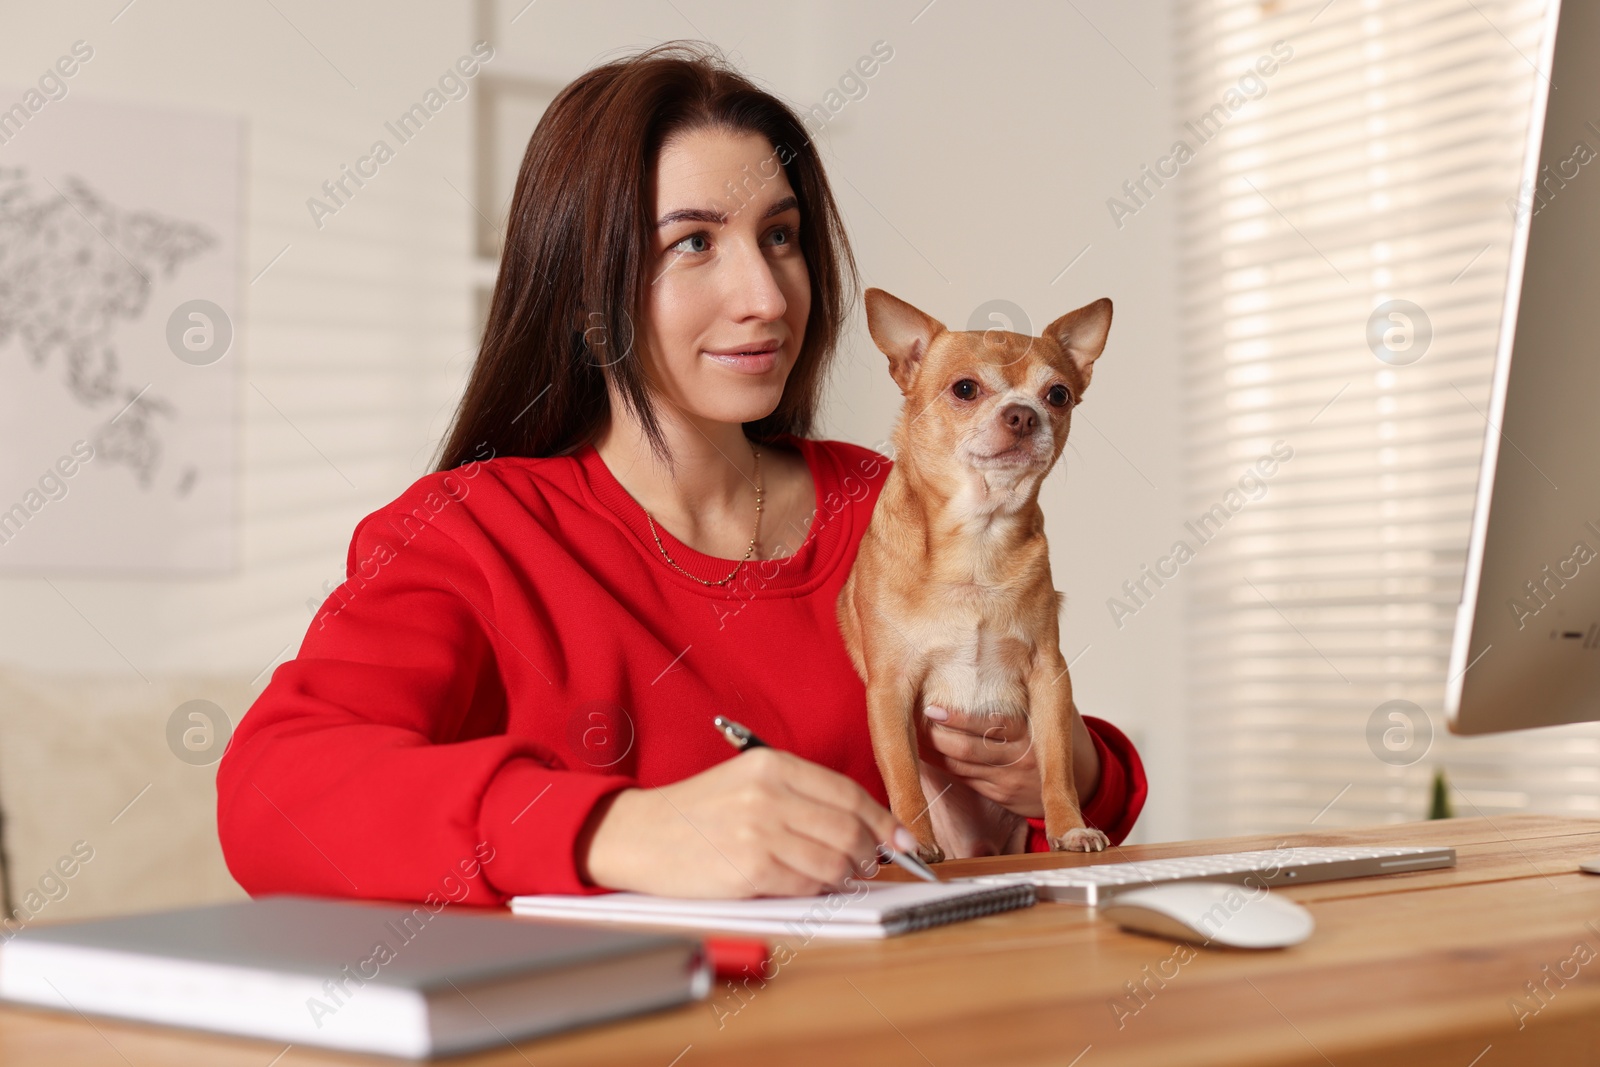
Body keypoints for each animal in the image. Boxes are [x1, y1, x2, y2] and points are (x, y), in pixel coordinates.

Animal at [838, 289, 1113, 857]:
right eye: (965, 388)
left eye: (1058, 395)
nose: (1024, 415)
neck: (978, 542)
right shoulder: (890, 689)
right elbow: (902, 773)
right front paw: (913, 842)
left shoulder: (1049, 676)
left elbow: (1058, 767)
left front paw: (1069, 826)